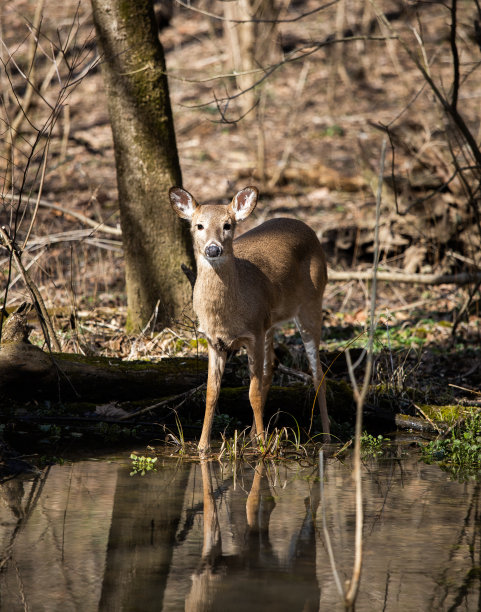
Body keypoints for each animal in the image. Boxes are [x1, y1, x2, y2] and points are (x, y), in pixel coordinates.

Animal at [167, 184, 328, 452]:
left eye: (227, 225)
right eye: (199, 225)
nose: (213, 249)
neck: (225, 316)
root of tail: (306, 227)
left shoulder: (252, 334)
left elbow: (252, 392)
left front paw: (263, 446)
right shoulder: (214, 341)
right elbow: (211, 392)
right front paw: (202, 446)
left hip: (311, 302)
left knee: (317, 373)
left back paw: (326, 436)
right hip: (269, 321)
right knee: (272, 364)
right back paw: (253, 433)